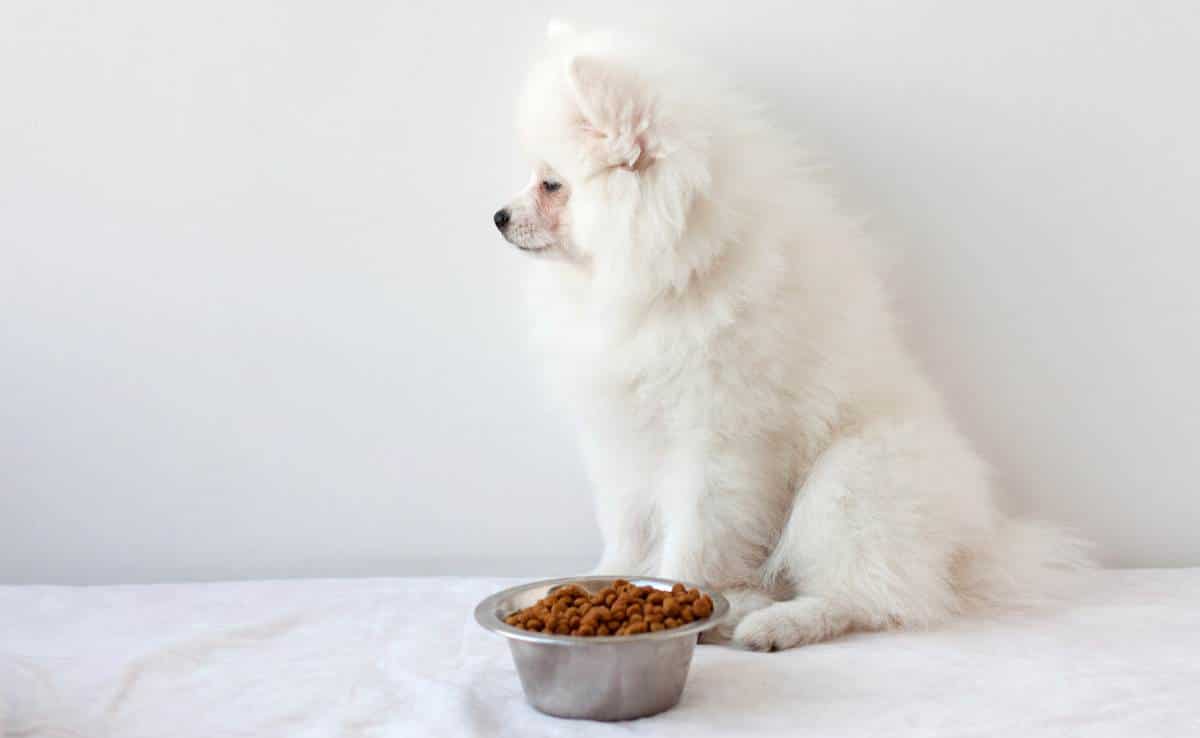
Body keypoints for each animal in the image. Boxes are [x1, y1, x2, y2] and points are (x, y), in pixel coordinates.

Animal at [492, 20, 1094, 648]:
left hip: (851, 480)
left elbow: (694, 533)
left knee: (869, 597)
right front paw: (608, 576)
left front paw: (679, 597)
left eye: (551, 184)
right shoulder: (626, 431)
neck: (671, 275)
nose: (498, 217)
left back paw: (774, 622)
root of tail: (970, 550)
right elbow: (628, 523)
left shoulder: (717, 438)